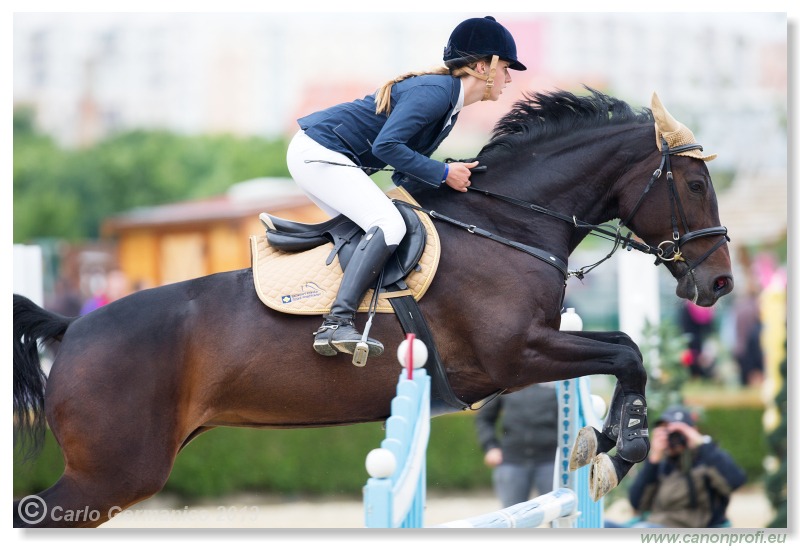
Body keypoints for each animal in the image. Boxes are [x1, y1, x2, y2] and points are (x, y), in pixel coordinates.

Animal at [14, 88, 732, 528]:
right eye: (696, 183)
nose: (721, 284)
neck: (506, 226)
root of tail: (72, 328)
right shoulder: (515, 356)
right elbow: (627, 353)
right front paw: (623, 447)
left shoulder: (531, 352)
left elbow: (623, 354)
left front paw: (598, 442)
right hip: (114, 472)